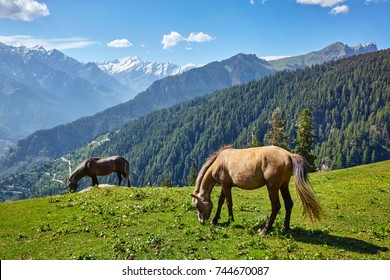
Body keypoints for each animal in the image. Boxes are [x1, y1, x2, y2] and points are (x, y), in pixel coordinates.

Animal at [190, 145, 322, 235]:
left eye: (197, 206)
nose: (201, 221)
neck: (219, 162)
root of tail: (289, 155)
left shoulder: (226, 185)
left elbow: (228, 202)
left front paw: (229, 220)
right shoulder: (225, 185)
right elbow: (221, 202)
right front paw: (215, 219)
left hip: (272, 187)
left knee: (276, 206)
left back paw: (265, 230)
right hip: (283, 185)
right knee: (288, 203)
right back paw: (285, 227)